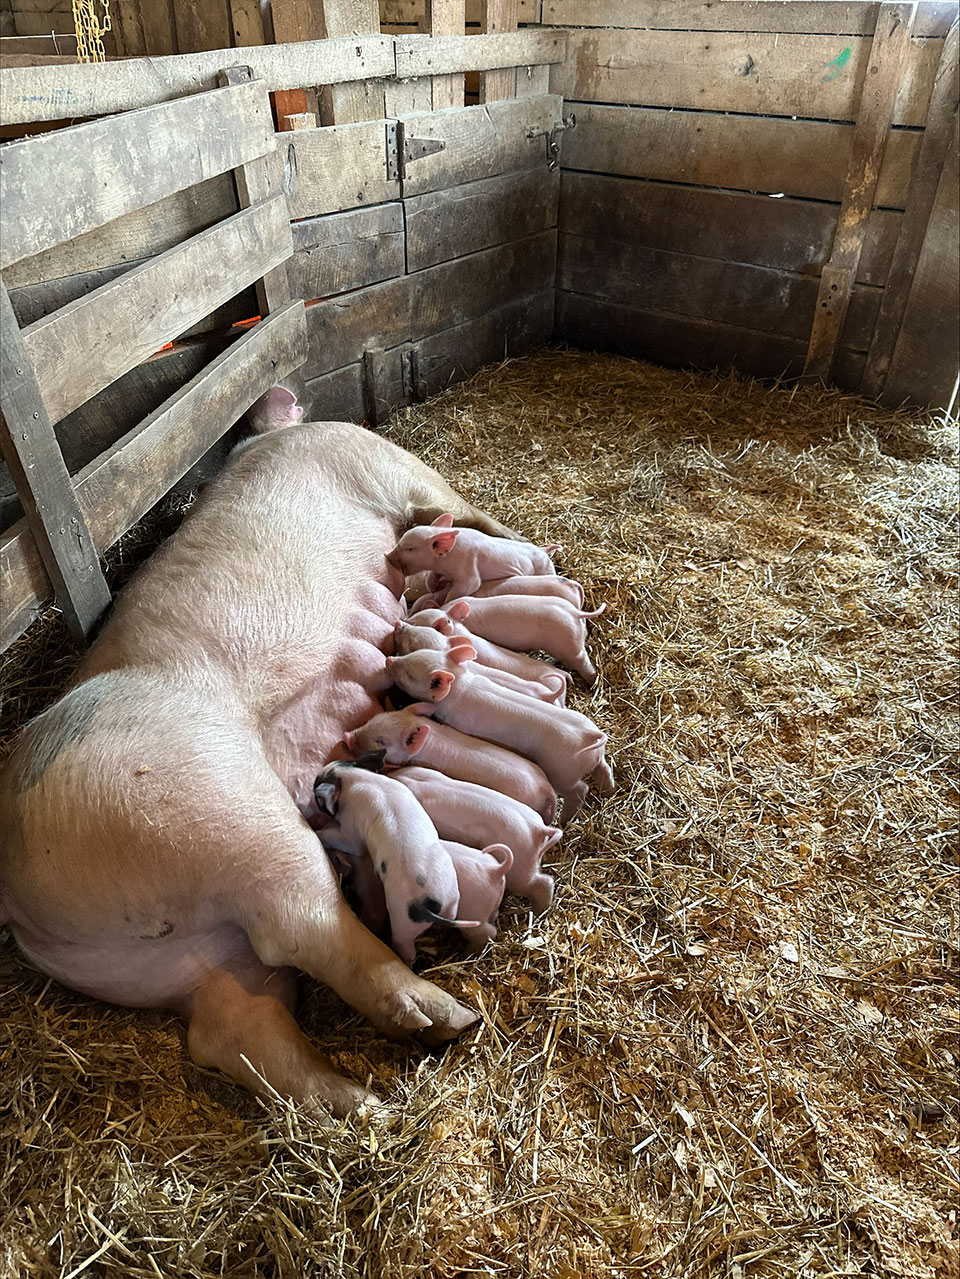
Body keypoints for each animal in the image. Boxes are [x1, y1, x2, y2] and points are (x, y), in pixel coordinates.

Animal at [1, 386, 526, 1120]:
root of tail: (14, 879)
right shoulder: (393, 469)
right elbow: (464, 509)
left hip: (178, 957)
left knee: (237, 1032)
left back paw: (366, 1104)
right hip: (218, 810)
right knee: (308, 925)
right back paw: (447, 1018)